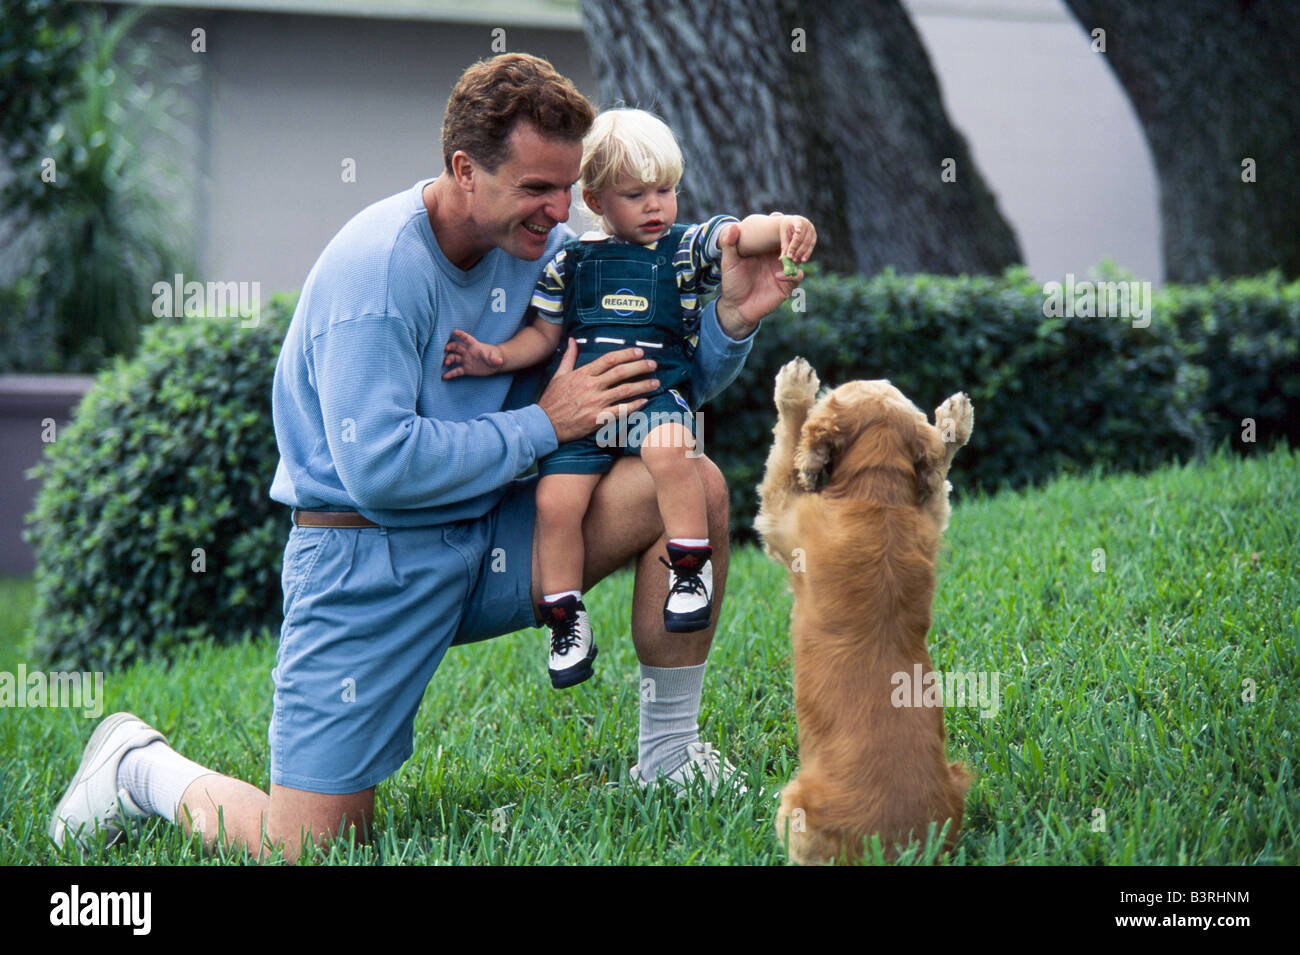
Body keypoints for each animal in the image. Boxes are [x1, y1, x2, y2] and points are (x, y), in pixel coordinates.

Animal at [759, 358, 977, 867]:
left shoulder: (780, 517)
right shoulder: (929, 518)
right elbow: (939, 473)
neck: (876, 494)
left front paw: (794, 388)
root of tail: (906, 849)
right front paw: (955, 422)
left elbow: (786, 444)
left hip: (794, 805)